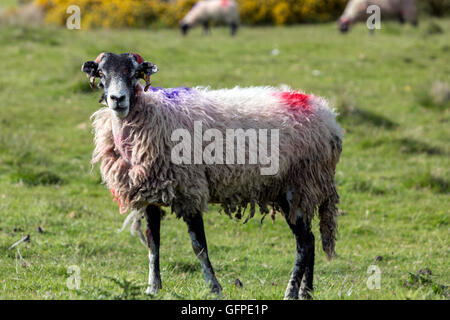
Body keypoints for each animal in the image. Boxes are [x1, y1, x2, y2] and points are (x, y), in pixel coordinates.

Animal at [81, 52, 342, 300]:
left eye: (135, 73)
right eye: (101, 73)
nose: (117, 99)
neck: (152, 115)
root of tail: (327, 115)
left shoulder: (190, 190)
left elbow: (199, 246)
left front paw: (215, 288)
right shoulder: (151, 195)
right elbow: (153, 243)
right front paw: (152, 288)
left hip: (299, 185)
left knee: (304, 244)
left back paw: (291, 292)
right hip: (294, 190)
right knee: (311, 240)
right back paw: (306, 292)